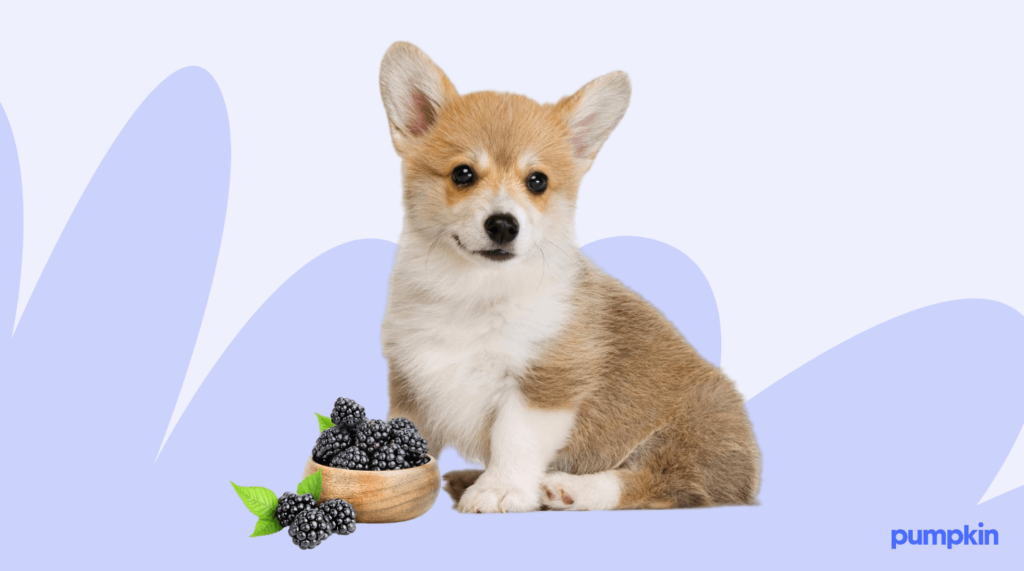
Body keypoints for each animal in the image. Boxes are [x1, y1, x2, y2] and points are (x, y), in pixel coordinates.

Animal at [378, 42, 761, 511]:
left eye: (537, 181)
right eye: (462, 174)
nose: (503, 225)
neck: (476, 289)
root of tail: (751, 476)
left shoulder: (547, 382)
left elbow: (514, 439)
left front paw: (500, 489)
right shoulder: (410, 381)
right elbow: (404, 434)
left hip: (691, 433)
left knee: (660, 482)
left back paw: (569, 489)